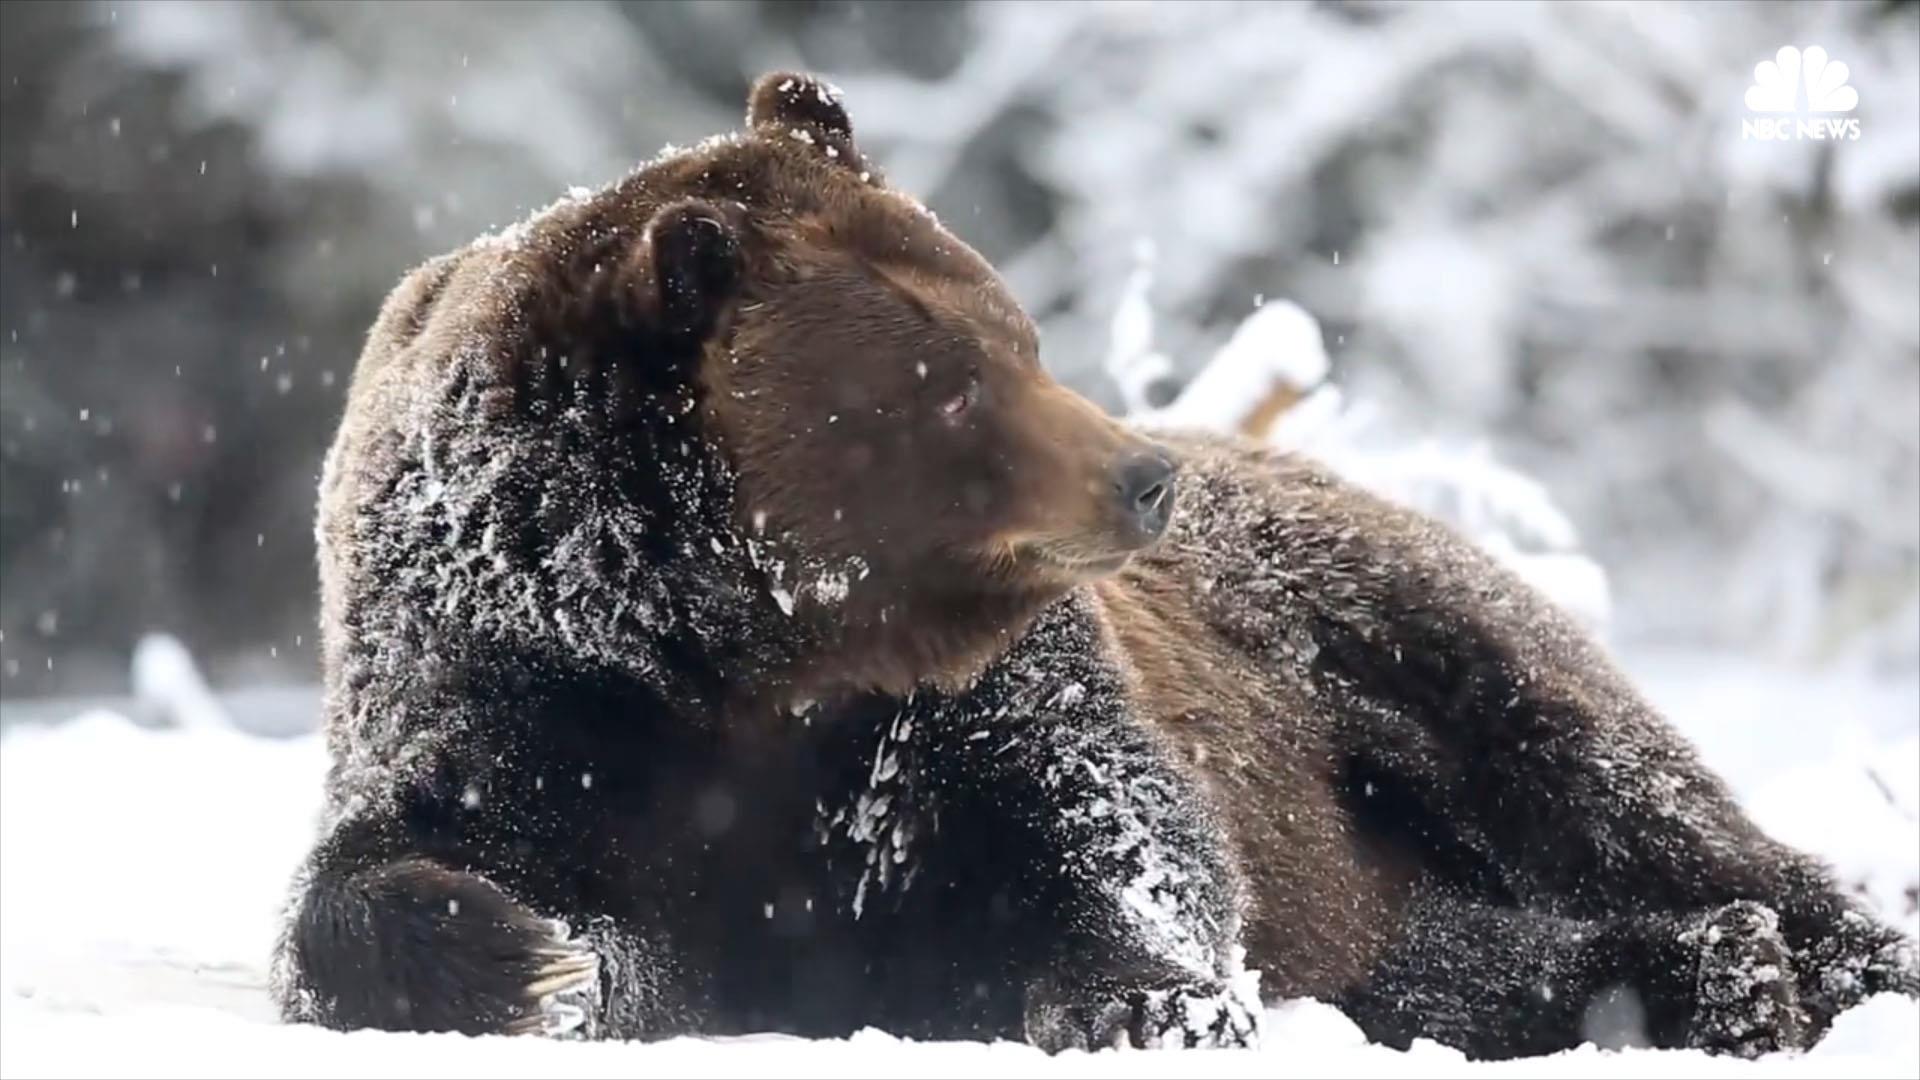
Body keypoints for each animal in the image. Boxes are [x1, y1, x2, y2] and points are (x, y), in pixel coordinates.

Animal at [274, 71, 1920, 1053]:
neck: (735, 645)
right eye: (943, 386)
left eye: (1013, 328)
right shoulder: (514, 688)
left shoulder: (965, 695)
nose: (1147, 474)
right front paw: (532, 952)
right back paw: (1708, 972)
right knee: (1455, 952)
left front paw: (1147, 1002)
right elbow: (369, 880)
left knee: (1607, 785)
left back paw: (1806, 960)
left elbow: (1106, 815)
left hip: (1383, 641)